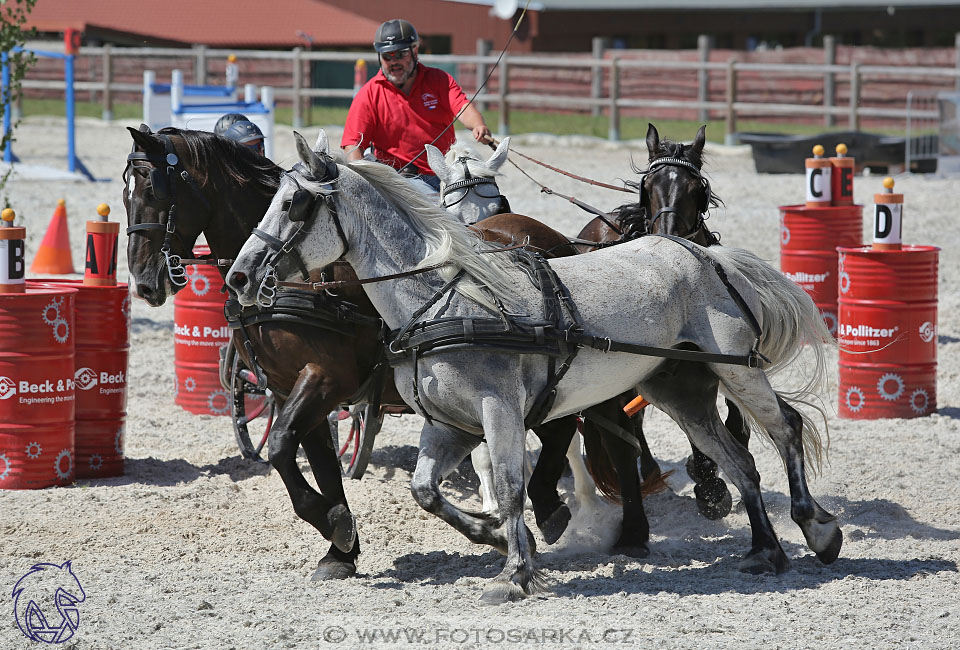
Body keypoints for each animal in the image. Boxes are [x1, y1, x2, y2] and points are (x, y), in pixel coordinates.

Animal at [225, 130, 840, 604]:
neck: (448, 300)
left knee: (783, 429)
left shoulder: (498, 410)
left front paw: (515, 571)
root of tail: (701, 254)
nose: (239, 275)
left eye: (294, 204)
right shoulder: (448, 423)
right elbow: (426, 489)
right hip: (679, 389)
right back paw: (764, 550)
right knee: (739, 461)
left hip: (737, 371)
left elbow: (510, 483)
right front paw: (493, 536)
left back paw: (816, 528)